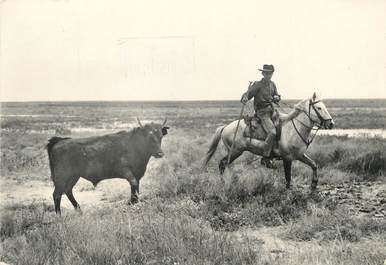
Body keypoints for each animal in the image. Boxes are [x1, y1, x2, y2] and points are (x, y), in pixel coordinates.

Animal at [202, 92, 334, 190]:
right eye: (319, 108)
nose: (331, 124)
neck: (293, 129)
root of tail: (225, 127)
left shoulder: (299, 155)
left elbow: (314, 164)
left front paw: (314, 184)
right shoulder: (287, 158)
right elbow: (288, 177)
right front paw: (288, 191)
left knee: (223, 164)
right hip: (235, 151)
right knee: (222, 164)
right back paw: (223, 182)